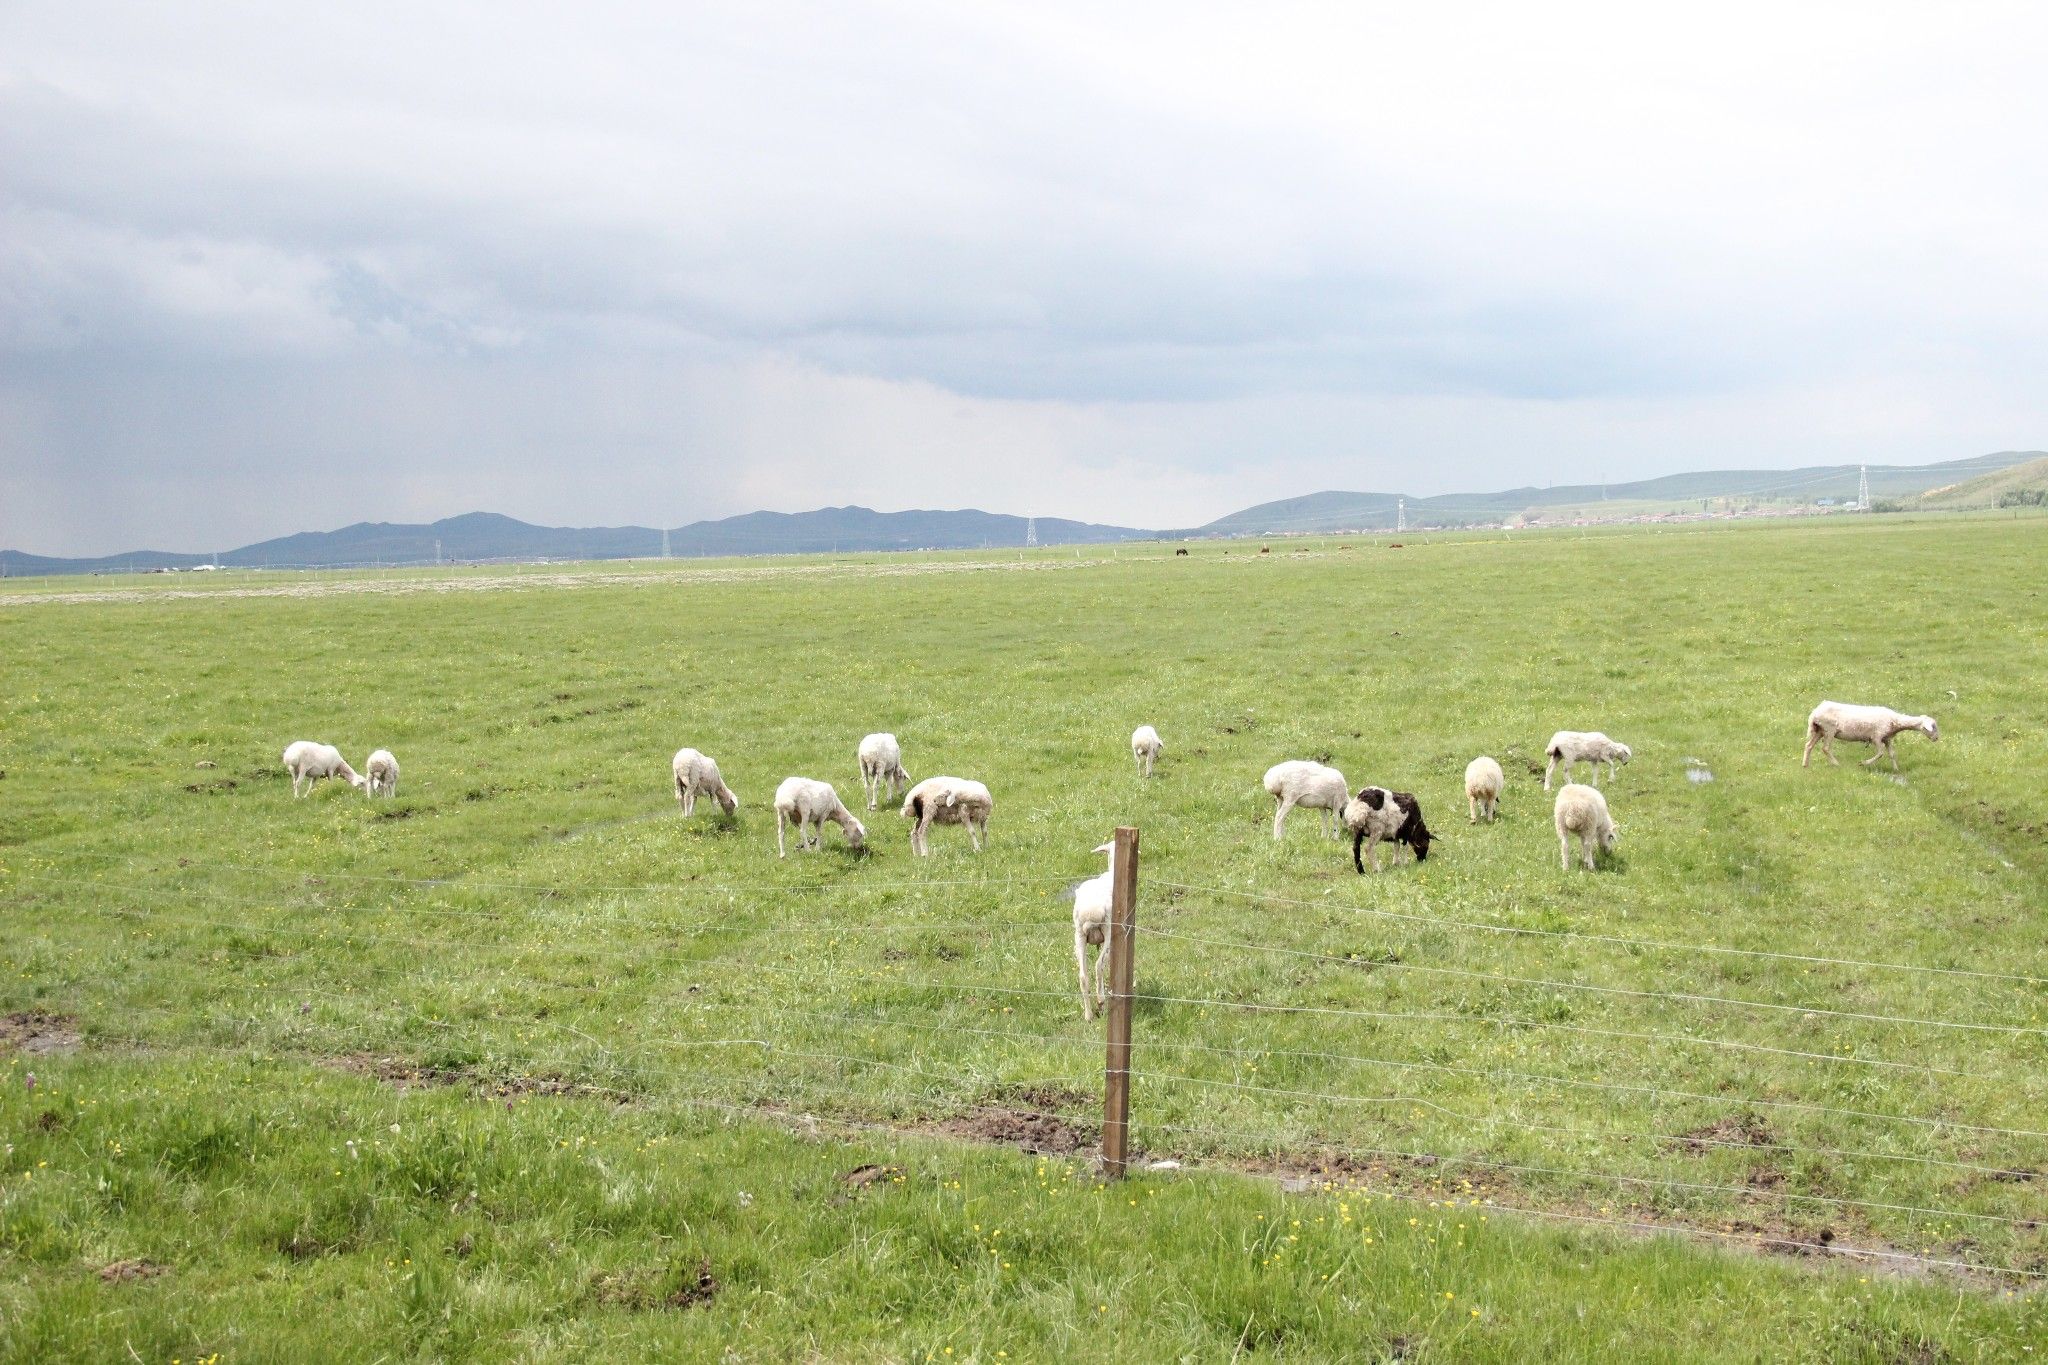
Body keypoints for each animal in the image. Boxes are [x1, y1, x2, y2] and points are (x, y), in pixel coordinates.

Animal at [1073, 839, 1122, 1019]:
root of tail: (1090, 912)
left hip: (1079, 935)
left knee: (1083, 976)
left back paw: (1088, 1015)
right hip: (1108, 931)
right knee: (1098, 965)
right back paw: (1101, 1000)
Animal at [1802, 703, 1941, 769]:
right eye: (1933, 726)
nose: (1936, 738)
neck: (1895, 721)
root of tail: (1815, 712)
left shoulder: (1887, 738)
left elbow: (1892, 754)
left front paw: (1896, 769)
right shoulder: (1876, 737)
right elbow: (1880, 754)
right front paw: (1863, 763)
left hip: (1819, 730)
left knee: (1808, 746)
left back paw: (1805, 765)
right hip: (1829, 729)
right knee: (1825, 748)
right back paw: (1836, 764)